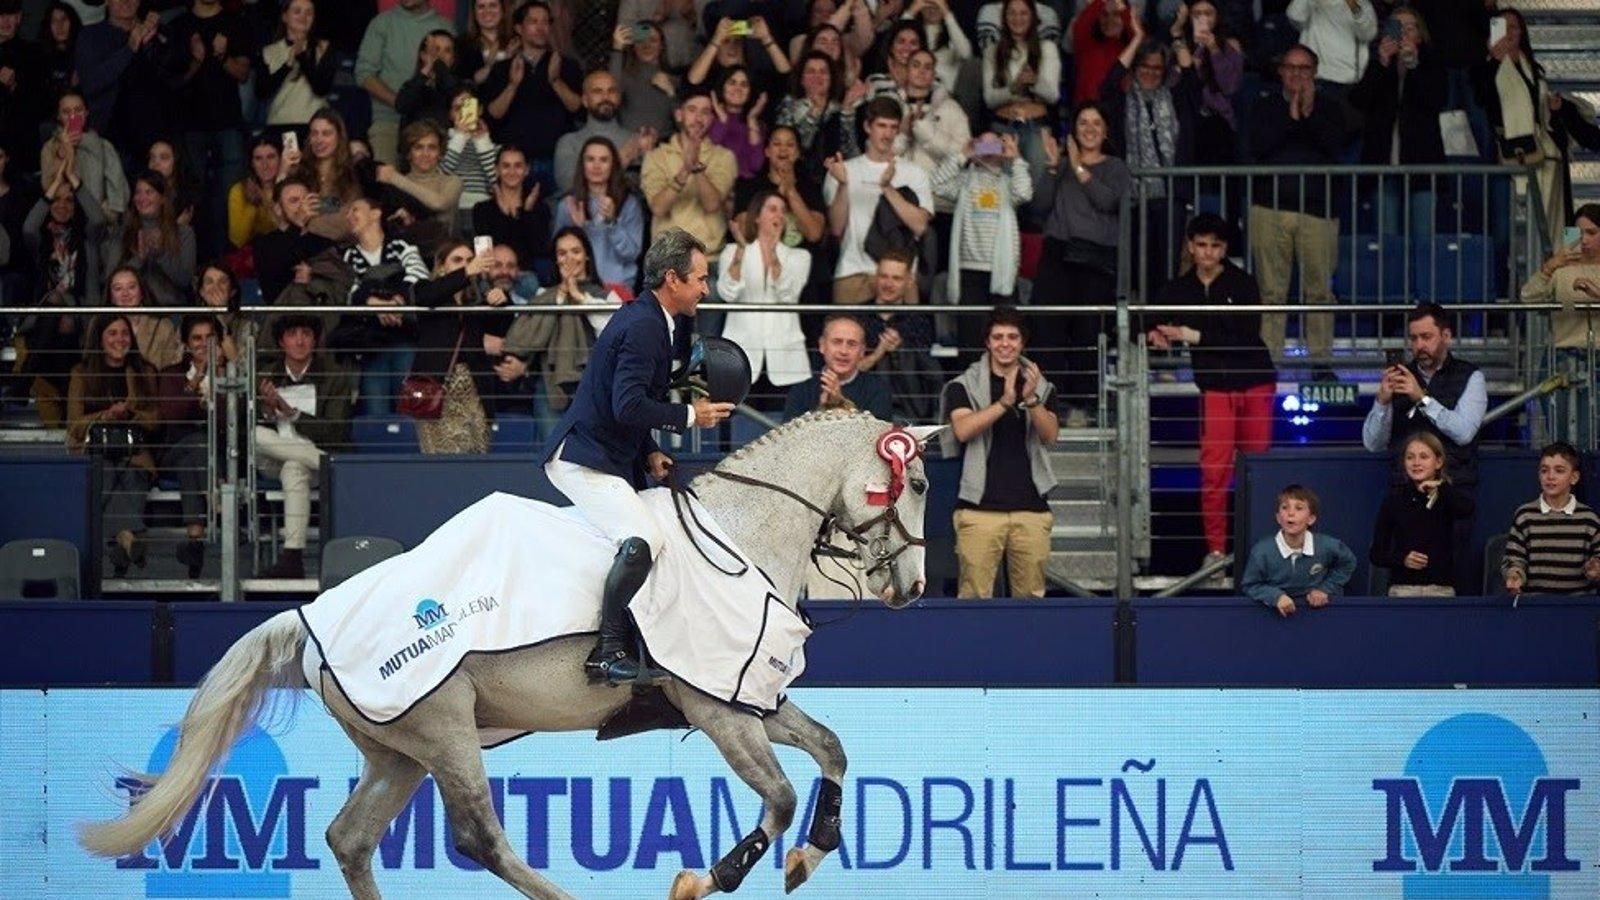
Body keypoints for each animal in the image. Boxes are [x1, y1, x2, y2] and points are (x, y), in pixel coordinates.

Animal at [78, 413, 934, 896]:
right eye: (920, 482)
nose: (917, 588)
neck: (741, 535)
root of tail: (311, 617)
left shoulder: (751, 699)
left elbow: (832, 751)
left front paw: (809, 857)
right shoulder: (717, 708)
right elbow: (781, 797)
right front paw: (707, 877)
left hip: (400, 752)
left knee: (351, 840)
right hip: (445, 730)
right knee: (478, 840)